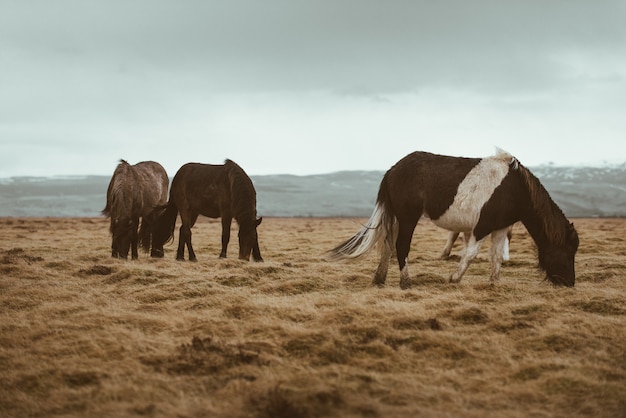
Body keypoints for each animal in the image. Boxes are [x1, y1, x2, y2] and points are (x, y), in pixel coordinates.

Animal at [330, 149, 576, 290]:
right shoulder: (482, 226)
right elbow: (470, 254)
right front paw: (454, 278)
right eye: (567, 252)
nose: (569, 283)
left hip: (398, 218)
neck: (515, 189)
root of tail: (392, 170)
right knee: (401, 246)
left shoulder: (500, 228)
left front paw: (495, 283)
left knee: (388, 245)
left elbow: (496, 256)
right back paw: (406, 283)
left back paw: (379, 280)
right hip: (408, 217)